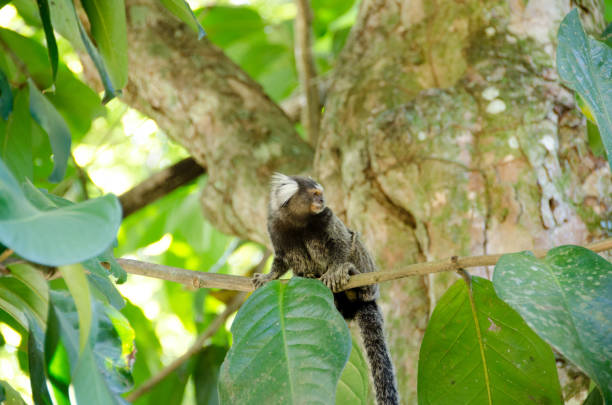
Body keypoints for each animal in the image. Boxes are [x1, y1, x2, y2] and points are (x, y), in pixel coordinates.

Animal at [252, 173, 400, 404]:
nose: (321, 201)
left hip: (370, 276)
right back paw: (309, 276)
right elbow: (281, 259)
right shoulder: (274, 227)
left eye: (321, 195)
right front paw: (269, 276)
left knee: (354, 241)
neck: (298, 221)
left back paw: (355, 278)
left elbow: (343, 242)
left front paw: (337, 269)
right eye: (315, 194)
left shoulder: (328, 217)